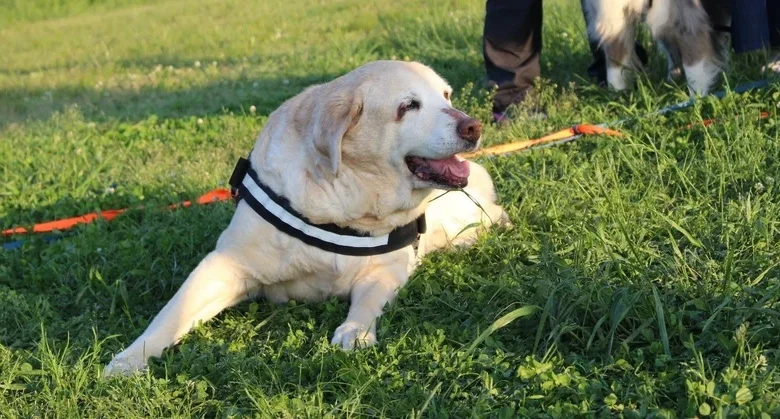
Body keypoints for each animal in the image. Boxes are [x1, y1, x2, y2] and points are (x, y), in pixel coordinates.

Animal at [100, 60, 508, 378]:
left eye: (447, 96)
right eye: (408, 106)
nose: (473, 126)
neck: (344, 198)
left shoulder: (388, 268)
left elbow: (368, 300)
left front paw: (355, 332)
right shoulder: (228, 264)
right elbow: (171, 313)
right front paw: (128, 360)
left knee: (490, 212)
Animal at [584, 0, 732, 95]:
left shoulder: (688, 20)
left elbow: (694, 70)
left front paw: (696, 102)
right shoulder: (614, 21)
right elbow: (615, 68)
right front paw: (617, 99)